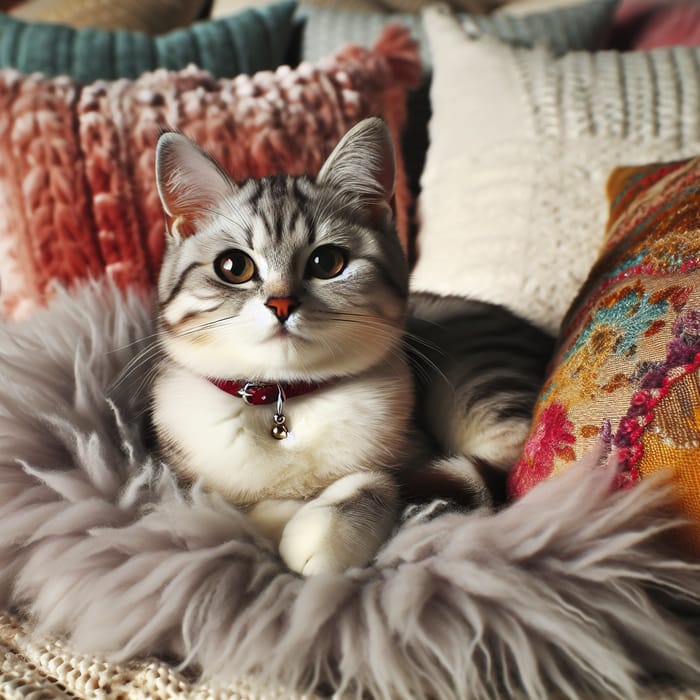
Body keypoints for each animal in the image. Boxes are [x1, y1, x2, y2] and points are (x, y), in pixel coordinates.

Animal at [152, 117, 552, 576]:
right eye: (234, 267)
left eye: (327, 263)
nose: (281, 304)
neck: (283, 402)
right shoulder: (183, 471)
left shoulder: (414, 451)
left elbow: (386, 481)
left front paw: (315, 526)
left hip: (480, 380)